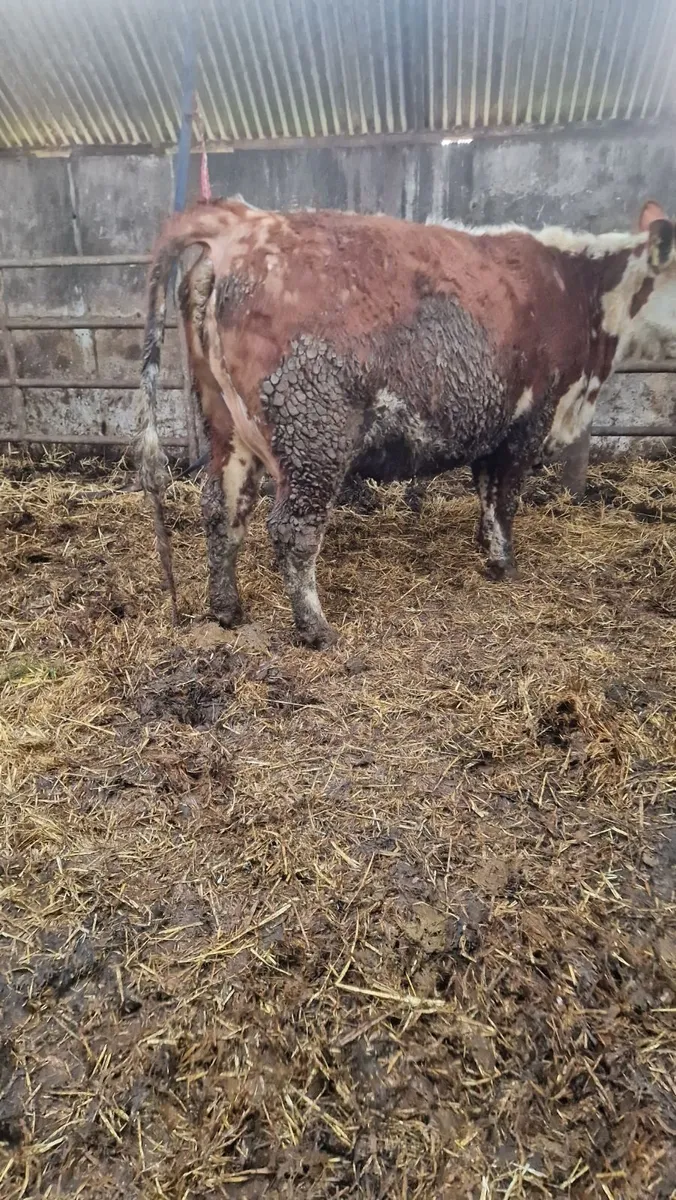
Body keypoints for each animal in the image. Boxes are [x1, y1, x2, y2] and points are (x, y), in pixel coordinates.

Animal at [137, 198, 676, 648]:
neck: (580, 289)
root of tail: (244, 221)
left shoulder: (492, 426)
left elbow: (486, 493)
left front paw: (484, 545)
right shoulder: (528, 419)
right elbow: (505, 499)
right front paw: (504, 563)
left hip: (227, 426)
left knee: (221, 508)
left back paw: (226, 609)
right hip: (314, 435)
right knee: (292, 529)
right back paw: (316, 629)